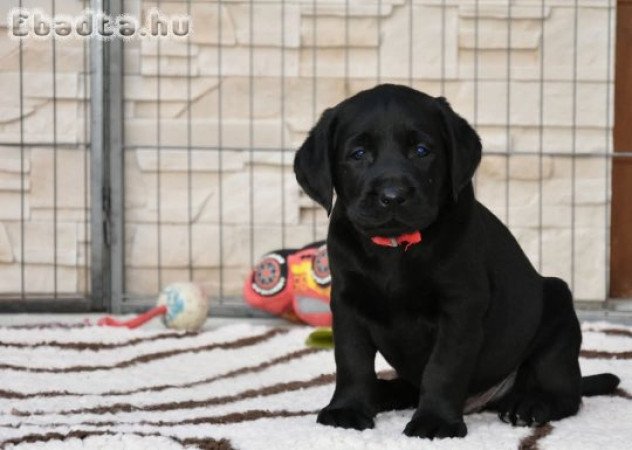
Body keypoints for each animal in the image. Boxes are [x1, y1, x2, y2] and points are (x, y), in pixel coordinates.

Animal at [294, 84, 620, 440]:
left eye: (422, 150)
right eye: (357, 154)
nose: (392, 196)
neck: (395, 248)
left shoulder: (460, 307)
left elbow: (443, 368)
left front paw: (435, 420)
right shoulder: (347, 303)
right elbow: (351, 360)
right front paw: (348, 408)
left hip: (558, 312)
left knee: (567, 393)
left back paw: (531, 404)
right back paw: (383, 392)